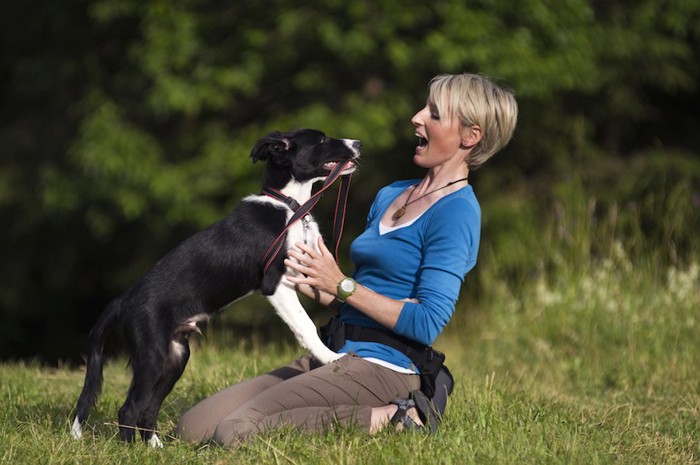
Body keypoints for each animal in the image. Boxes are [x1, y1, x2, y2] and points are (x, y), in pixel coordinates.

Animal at [71, 128, 360, 446]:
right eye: (321, 140)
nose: (358, 144)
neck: (289, 205)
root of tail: (123, 299)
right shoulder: (276, 284)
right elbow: (305, 325)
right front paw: (332, 358)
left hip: (175, 356)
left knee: (148, 407)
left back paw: (155, 448)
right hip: (152, 353)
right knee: (129, 408)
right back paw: (130, 449)